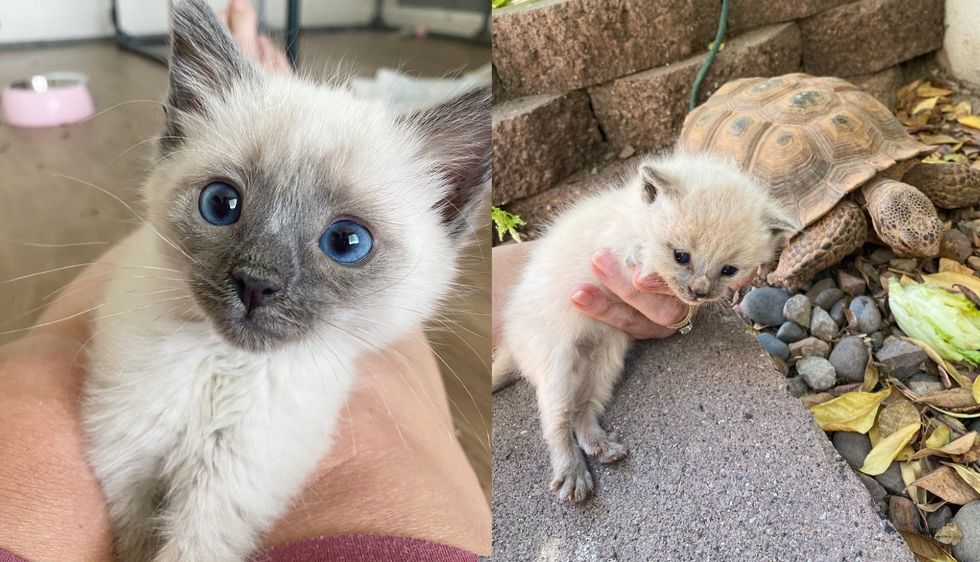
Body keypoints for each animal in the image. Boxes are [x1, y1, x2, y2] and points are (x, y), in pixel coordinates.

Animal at [82, 2, 488, 556]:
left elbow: (190, 547)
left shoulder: (228, 491)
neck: (222, 368)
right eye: (221, 204)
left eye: (346, 242)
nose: (256, 283)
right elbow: (136, 541)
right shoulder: (128, 458)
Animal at [494, 151, 800, 500]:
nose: (699, 292)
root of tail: (511, 336)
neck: (635, 220)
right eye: (681, 256)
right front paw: (642, 256)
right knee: (557, 420)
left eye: (729, 270)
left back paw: (601, 445)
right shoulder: (609, 251)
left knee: (582, 411)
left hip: (606, 360)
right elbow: (633, 255)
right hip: (556, 362)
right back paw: (572, 473)